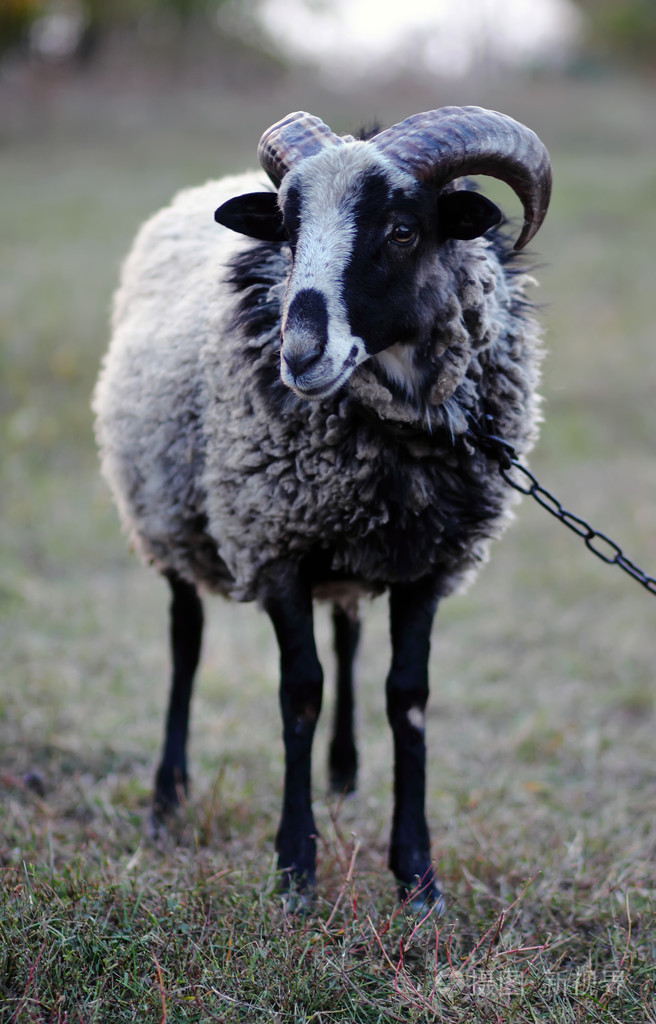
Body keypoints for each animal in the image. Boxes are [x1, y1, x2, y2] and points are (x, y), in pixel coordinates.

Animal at [94, 105, 548, 913]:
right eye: (287, 231)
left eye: (402, 230)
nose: (299, 354)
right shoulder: (274, 544)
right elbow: (299, 693)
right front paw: (295, 869)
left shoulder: (429, 561)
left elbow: (408, 698)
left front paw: (417, 876)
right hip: (167, 511)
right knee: (186, 640)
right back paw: (168, 797)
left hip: (352, 547)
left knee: (347, 633)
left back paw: (344, 770)